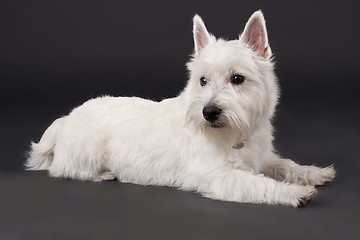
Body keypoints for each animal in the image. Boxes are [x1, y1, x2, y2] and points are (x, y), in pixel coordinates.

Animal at [26, 10, 336, 206]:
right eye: (202, 80)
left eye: (237, 79)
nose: (209, 112)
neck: (234, 136)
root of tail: (66, 118)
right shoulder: (219, 177)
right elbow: (259, 184)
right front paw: (295, 193)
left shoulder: (261, 157)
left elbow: (284, 164)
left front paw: (315, 173)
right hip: (86, 150)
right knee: (65, 169)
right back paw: (104, 174)